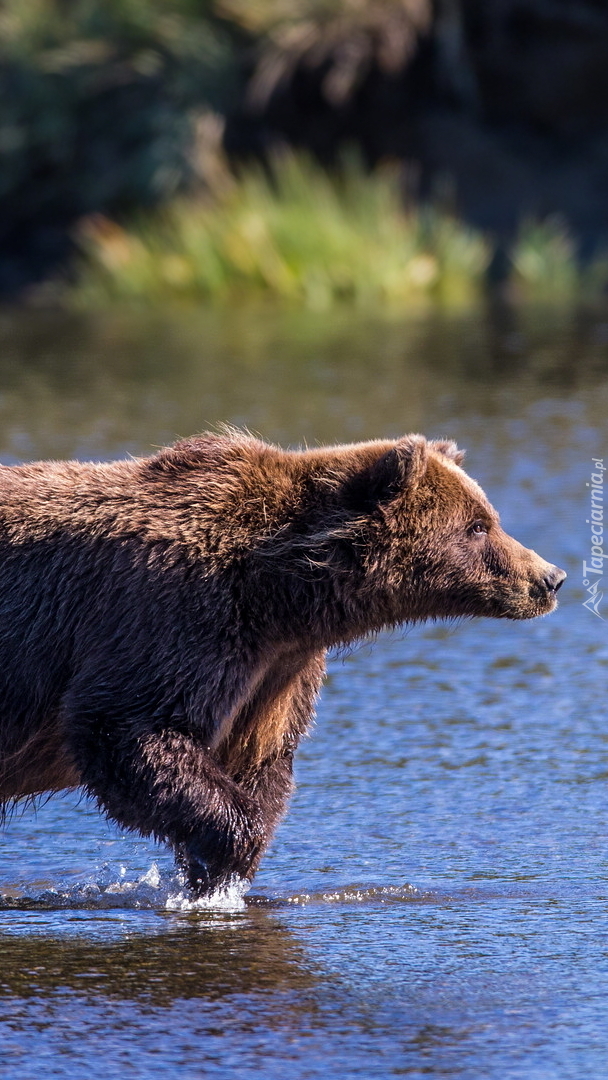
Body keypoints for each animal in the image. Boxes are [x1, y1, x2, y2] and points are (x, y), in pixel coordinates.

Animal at [0, 429, 565, 894]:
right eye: (477, 526)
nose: (550, 578)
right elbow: (126, 724)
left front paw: (218, 868)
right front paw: (227, 854)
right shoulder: (175, 616)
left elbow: (263, 756)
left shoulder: (277, 671)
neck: (279, 592)